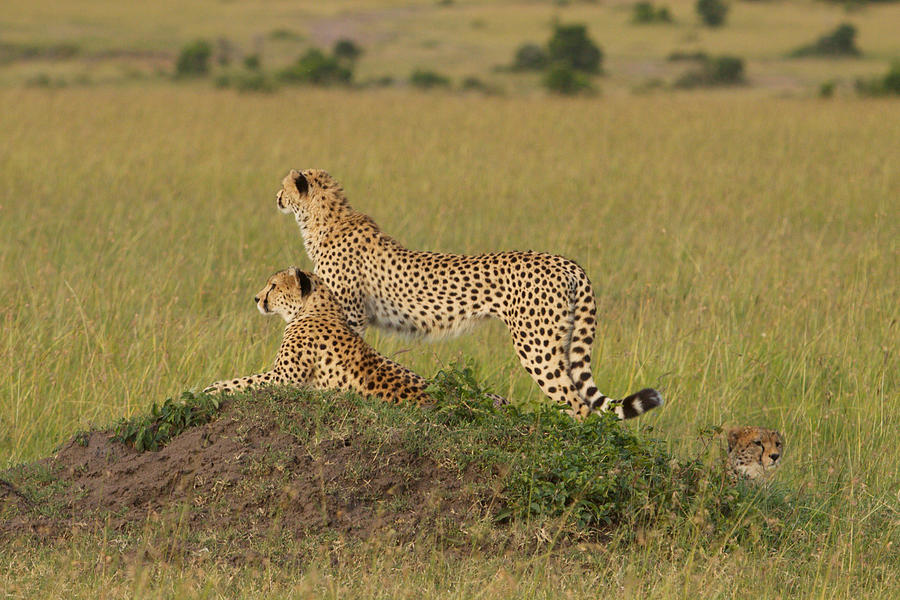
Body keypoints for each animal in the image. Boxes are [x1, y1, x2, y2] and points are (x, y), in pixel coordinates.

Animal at [274, 169, 660, 420]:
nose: (276, 197)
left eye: (283, 187)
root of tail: (565, 261)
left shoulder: (349, 312)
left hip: (536, 344)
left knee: (575, 401)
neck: (323, 221)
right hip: (561, 340)